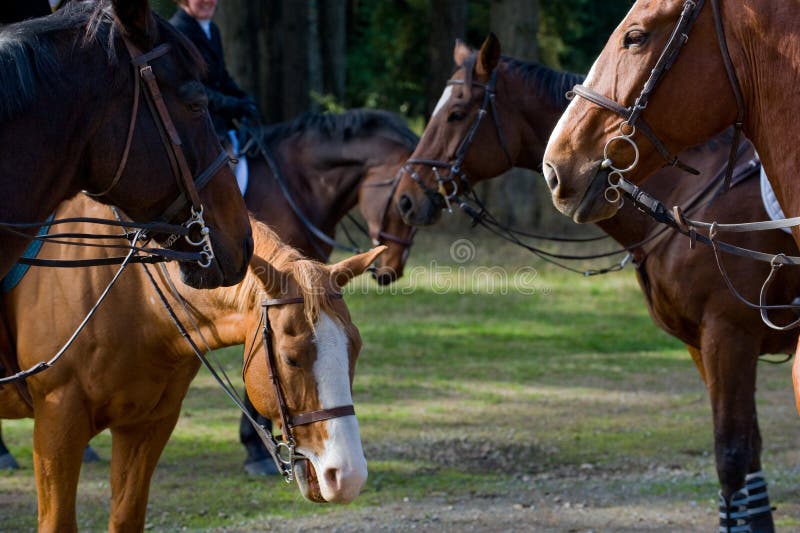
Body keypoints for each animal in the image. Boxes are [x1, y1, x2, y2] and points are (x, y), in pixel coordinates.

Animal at [0, 194, 382, 531]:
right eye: (290, 358)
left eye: (356, 349)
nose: (347, 475)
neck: (134, 296)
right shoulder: (58, 423)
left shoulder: (148, 425)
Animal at [392, 34, 797, 532]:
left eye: (456, 112)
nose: (405, 197)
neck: (689, 201)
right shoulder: (702, 345)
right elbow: (749, 455)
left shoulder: (729, 337)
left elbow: (734, 458)